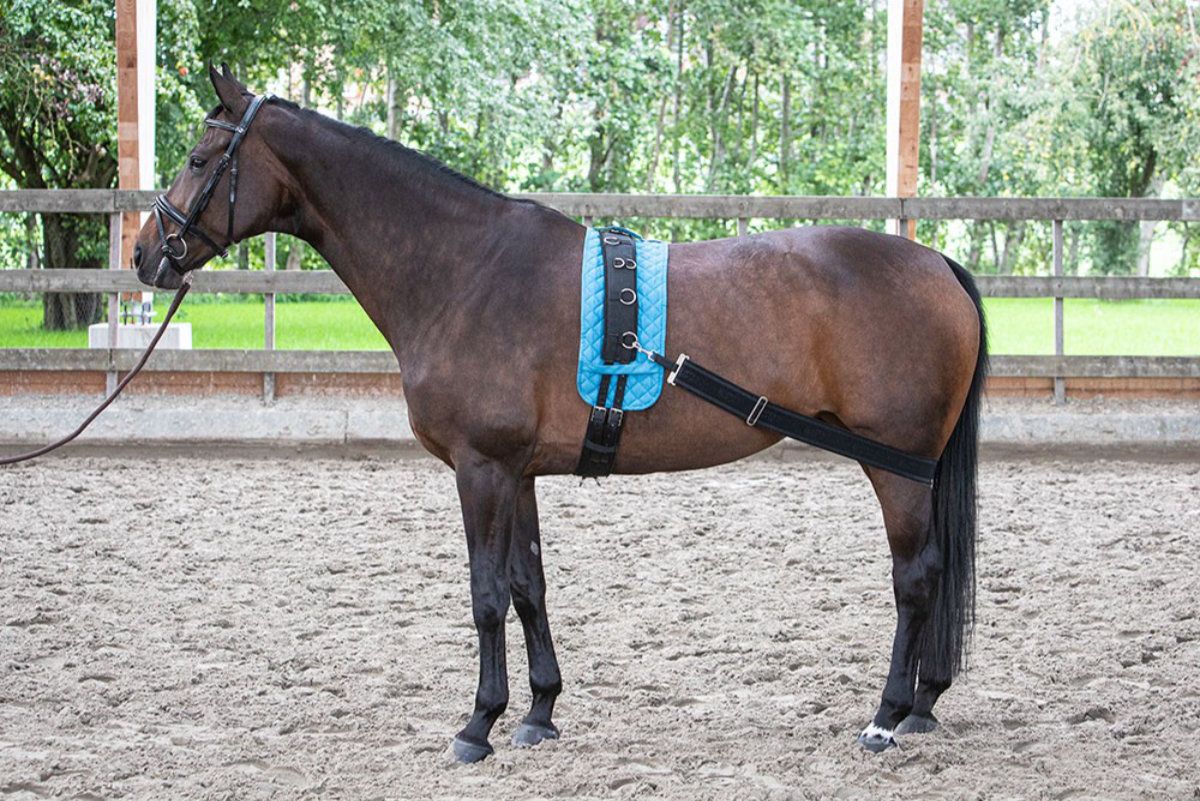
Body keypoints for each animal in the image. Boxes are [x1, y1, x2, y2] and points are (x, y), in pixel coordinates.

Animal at [134, 66, 986, 762]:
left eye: (201, 159)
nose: (147, 254)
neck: (466, 269)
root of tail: (937, 262)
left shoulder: (480, 468)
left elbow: (484, 594)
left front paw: (478, 723)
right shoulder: (518, 471)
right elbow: (527, 585)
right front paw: (539, 710)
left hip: (895, 465)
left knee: (916, 578)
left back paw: (886, 713)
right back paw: (924, 703)